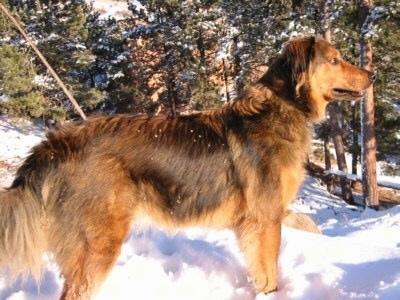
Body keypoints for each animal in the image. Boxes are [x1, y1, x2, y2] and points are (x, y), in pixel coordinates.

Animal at [0, 36, 376, 298]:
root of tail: (55, 144)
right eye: (335, 60)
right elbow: (270, 273)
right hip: (98, 246)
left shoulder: (254, 222)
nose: (372, 75)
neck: (283, 107)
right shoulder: (266, 219)